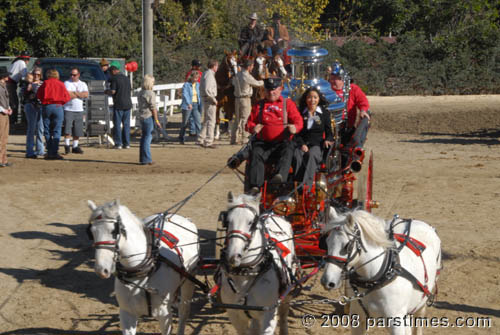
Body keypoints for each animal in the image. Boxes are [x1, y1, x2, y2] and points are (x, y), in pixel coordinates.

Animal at [88, 201, 199, 335]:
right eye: (92, 232)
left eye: (114, 231)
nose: (101, 269)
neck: (142, 272)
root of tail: (183, 218)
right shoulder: (126, 313)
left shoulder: (164, 315)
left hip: (189, 279)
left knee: (184, 310)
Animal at [220, 193, 296, 334]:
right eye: (227, 222)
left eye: (251, 222)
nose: (234, 256)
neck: (246, 273)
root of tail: (274, 213)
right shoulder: (234, 314)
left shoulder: (269, 315)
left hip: (289, 286)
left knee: (284, 313)